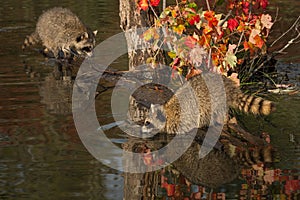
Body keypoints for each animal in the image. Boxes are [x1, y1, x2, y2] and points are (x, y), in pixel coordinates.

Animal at [142, 72, 276, 135]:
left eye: (147, 122)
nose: (141, 130)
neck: (167, 111)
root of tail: (228, 85)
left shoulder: (181, 120)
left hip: (217, 102)